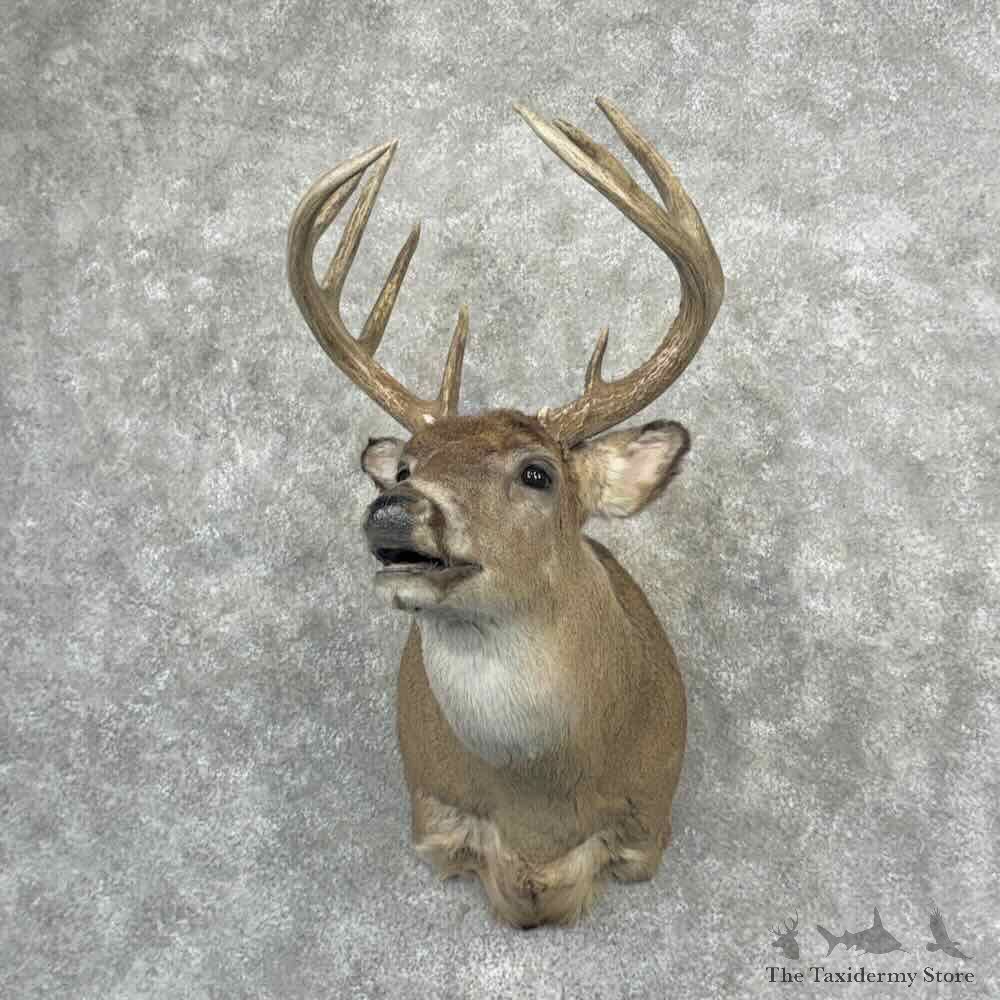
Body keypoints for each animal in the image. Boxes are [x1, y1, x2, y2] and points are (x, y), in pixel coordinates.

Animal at [286, 97, 724, 928]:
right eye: (405, 465)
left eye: (537, 471)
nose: (394, 509)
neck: (536, 815)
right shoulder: (433, 817)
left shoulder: (648, 821)